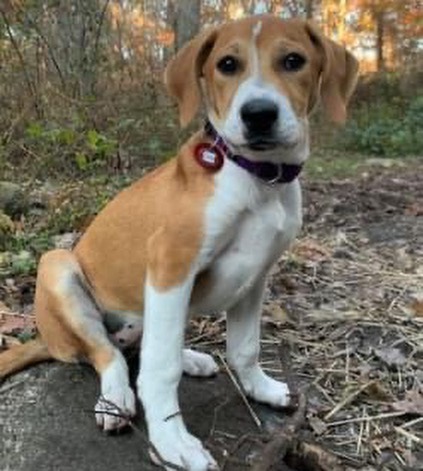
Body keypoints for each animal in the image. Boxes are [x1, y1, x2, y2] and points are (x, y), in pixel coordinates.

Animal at [0, 14, 360, 471]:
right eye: (227, 64)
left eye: (293, 60)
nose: (259, 114)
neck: (255, 178)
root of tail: (46, 339)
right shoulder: (172, 263)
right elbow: (159, 367)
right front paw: (172, 438)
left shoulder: (257, 275)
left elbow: (245, 347)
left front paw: (259, 387)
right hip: (58, 265)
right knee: (108, 354)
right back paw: (116, 398)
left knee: (139, 343)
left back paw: (190, 357)